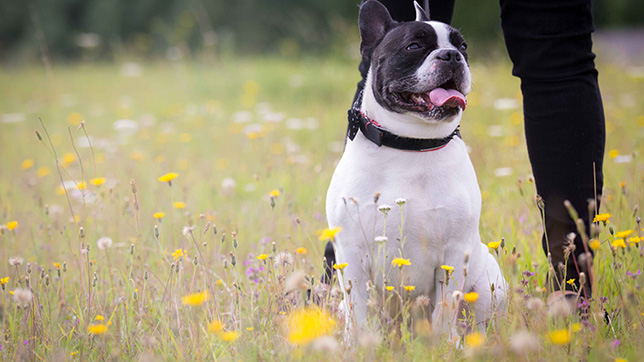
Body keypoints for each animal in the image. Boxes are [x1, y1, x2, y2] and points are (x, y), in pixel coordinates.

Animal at [324, 0, 506, 340]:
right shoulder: (351, 255)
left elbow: (445, 308)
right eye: (414, 46)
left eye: (463, 47)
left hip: (490, 284)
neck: (410, 143)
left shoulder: (453, 254)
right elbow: (359, 309)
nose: (451, 55)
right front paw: (360, 344)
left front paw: (445, 344)